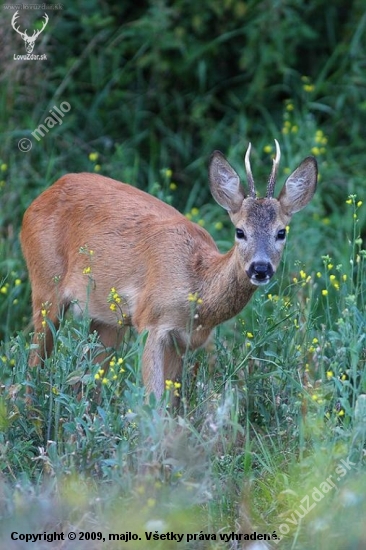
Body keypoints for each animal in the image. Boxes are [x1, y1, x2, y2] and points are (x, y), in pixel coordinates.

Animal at [20, 141, 318, 402]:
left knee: (86, 383)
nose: (260, 268)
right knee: (33, 367)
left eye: (281, 232)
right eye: (240, 231)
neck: (197, 287)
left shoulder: (184, 342)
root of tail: (39, 198)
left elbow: (171, 404)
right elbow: (153, 401)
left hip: (106, 320)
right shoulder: (151, 322)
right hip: (46, 286)